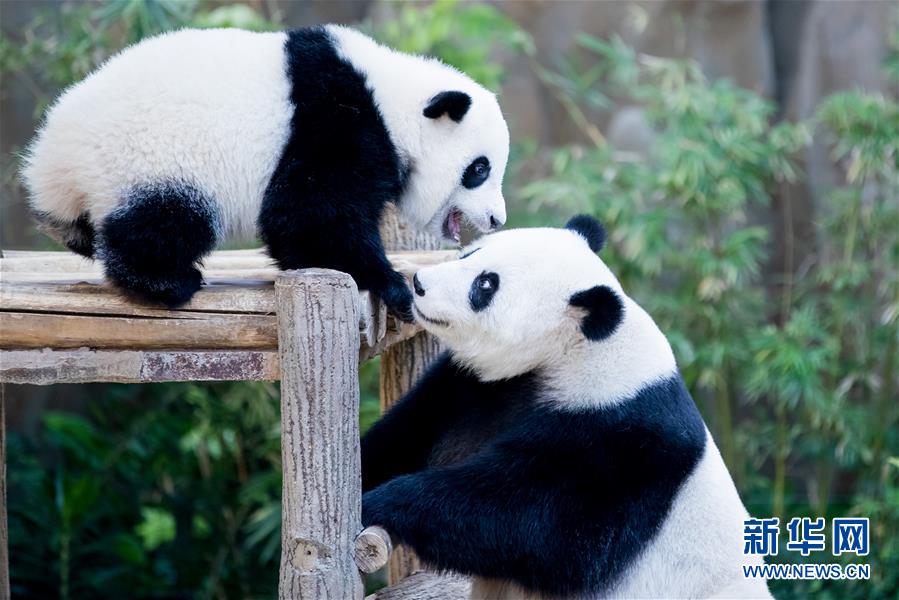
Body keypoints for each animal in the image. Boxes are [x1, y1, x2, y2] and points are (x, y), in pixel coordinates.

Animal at [21, 26, 509, 317]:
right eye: (479, 169)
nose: (496, 219)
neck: (393, 101)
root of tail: (53, 157)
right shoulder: (333, 120)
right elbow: (310, 216)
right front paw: (392, 285)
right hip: (152, 157)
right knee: (163, 221)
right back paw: (166, 282)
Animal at [361, 215, 772, 599]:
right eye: (470, 253)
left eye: (486, 284)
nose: (419, 284)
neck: (575, 352)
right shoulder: (477, 388)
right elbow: (405, 436)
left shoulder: (620, 442)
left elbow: (528, 521)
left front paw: (380, 503)